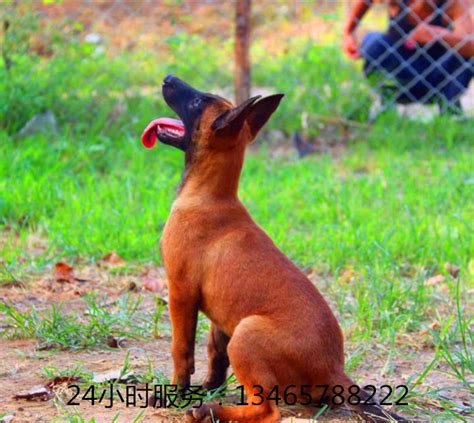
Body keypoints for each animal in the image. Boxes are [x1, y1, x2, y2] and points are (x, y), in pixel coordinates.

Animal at [142, 76, 404, 423]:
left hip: (246, 333)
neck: (209, 195)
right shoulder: (221, 314)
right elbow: (215, 353)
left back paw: (209, 411)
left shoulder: (181, 292)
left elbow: (181, 351)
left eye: (198, 102)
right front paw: (209, 387)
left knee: (267, 411)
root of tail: (334, 370)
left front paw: (174, 395)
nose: (168, 78)